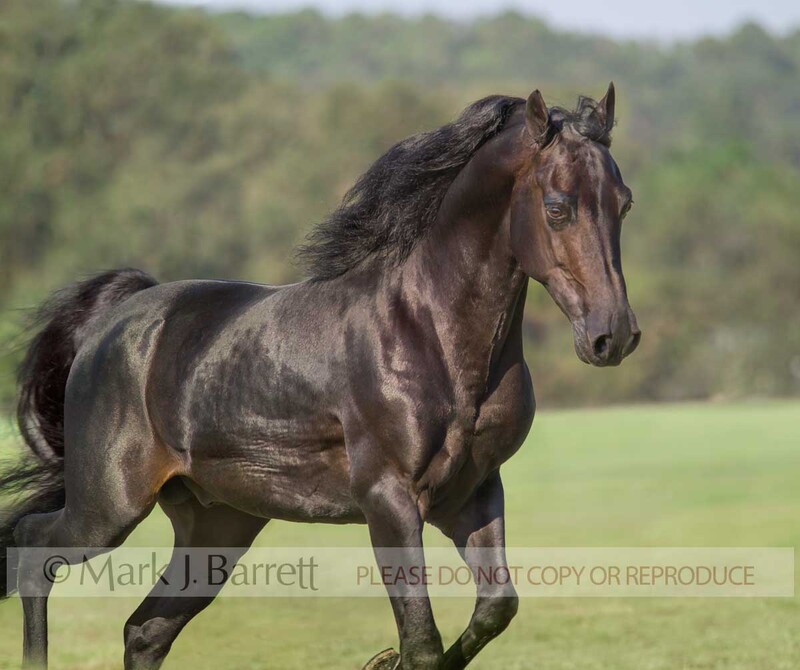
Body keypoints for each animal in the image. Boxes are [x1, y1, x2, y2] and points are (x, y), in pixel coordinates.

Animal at [0, 83, 640, 669]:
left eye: (624, 203)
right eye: (556, 206)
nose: (613, 337)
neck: (430, 332)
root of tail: (116, 323)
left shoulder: (475, 493)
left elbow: (494, 609)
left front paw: (383, 660)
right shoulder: (388, 499)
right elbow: (423, 642)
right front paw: (389, 658)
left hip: (217, 525)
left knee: (145, 630)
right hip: (109, 506)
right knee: (33, 552)